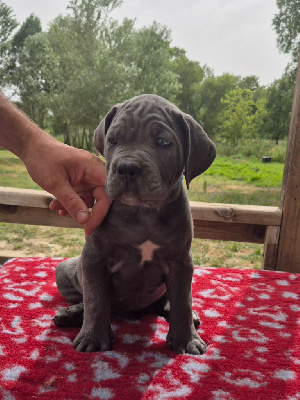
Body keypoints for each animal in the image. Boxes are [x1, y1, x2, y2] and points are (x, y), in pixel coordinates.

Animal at [54, 94, 216, 356]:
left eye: (163, 142)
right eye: (112, 140)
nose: (127, 167)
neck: (144, 211)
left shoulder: (181, 261)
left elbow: (183, 299)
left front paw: (187, 339)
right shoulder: (94, 257)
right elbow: (95, 298)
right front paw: (92, 337)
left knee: (167, 300)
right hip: (64, 270)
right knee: (86, 299)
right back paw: (71, 313)